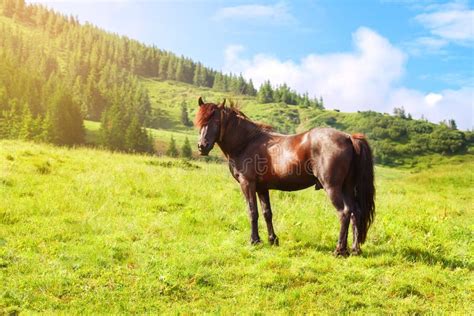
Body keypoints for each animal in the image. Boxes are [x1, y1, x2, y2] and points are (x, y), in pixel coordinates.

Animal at [194, 97, 376, 256]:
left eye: (216, 122)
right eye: (200, 123)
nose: (202, 146)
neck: (246, 142)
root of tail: (349, 138)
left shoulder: (247, 184)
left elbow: (252, 212)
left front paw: (254, 241)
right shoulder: (262, 188)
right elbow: (267, 213)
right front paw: (272, 240)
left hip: (332, 187)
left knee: (344, 213)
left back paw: (339, 250)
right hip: (347, 188)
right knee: (355, 212)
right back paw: (354, 249)